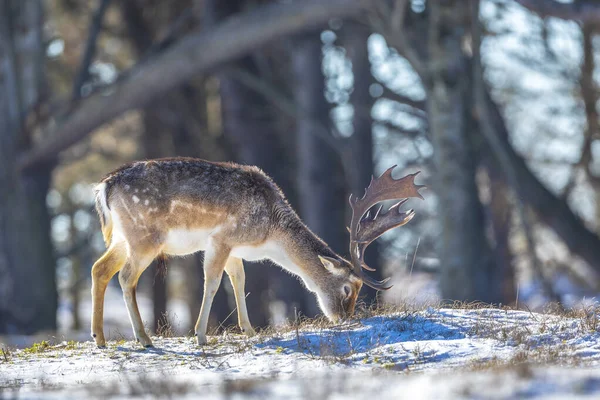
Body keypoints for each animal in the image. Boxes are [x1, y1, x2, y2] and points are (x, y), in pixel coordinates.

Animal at [91, 158, 424, 348]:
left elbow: (239, 281)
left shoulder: (235, 248)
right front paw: (201, 335)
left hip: (122, 238)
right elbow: (213, 282)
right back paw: (144, 339)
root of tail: (103, 186)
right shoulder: (221, 238)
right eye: (348, 288)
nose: (344, 318)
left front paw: (248, 330)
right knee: (126, 276)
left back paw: (100, 339)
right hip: (146, 236)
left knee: (99, 269)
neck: (269, 235)